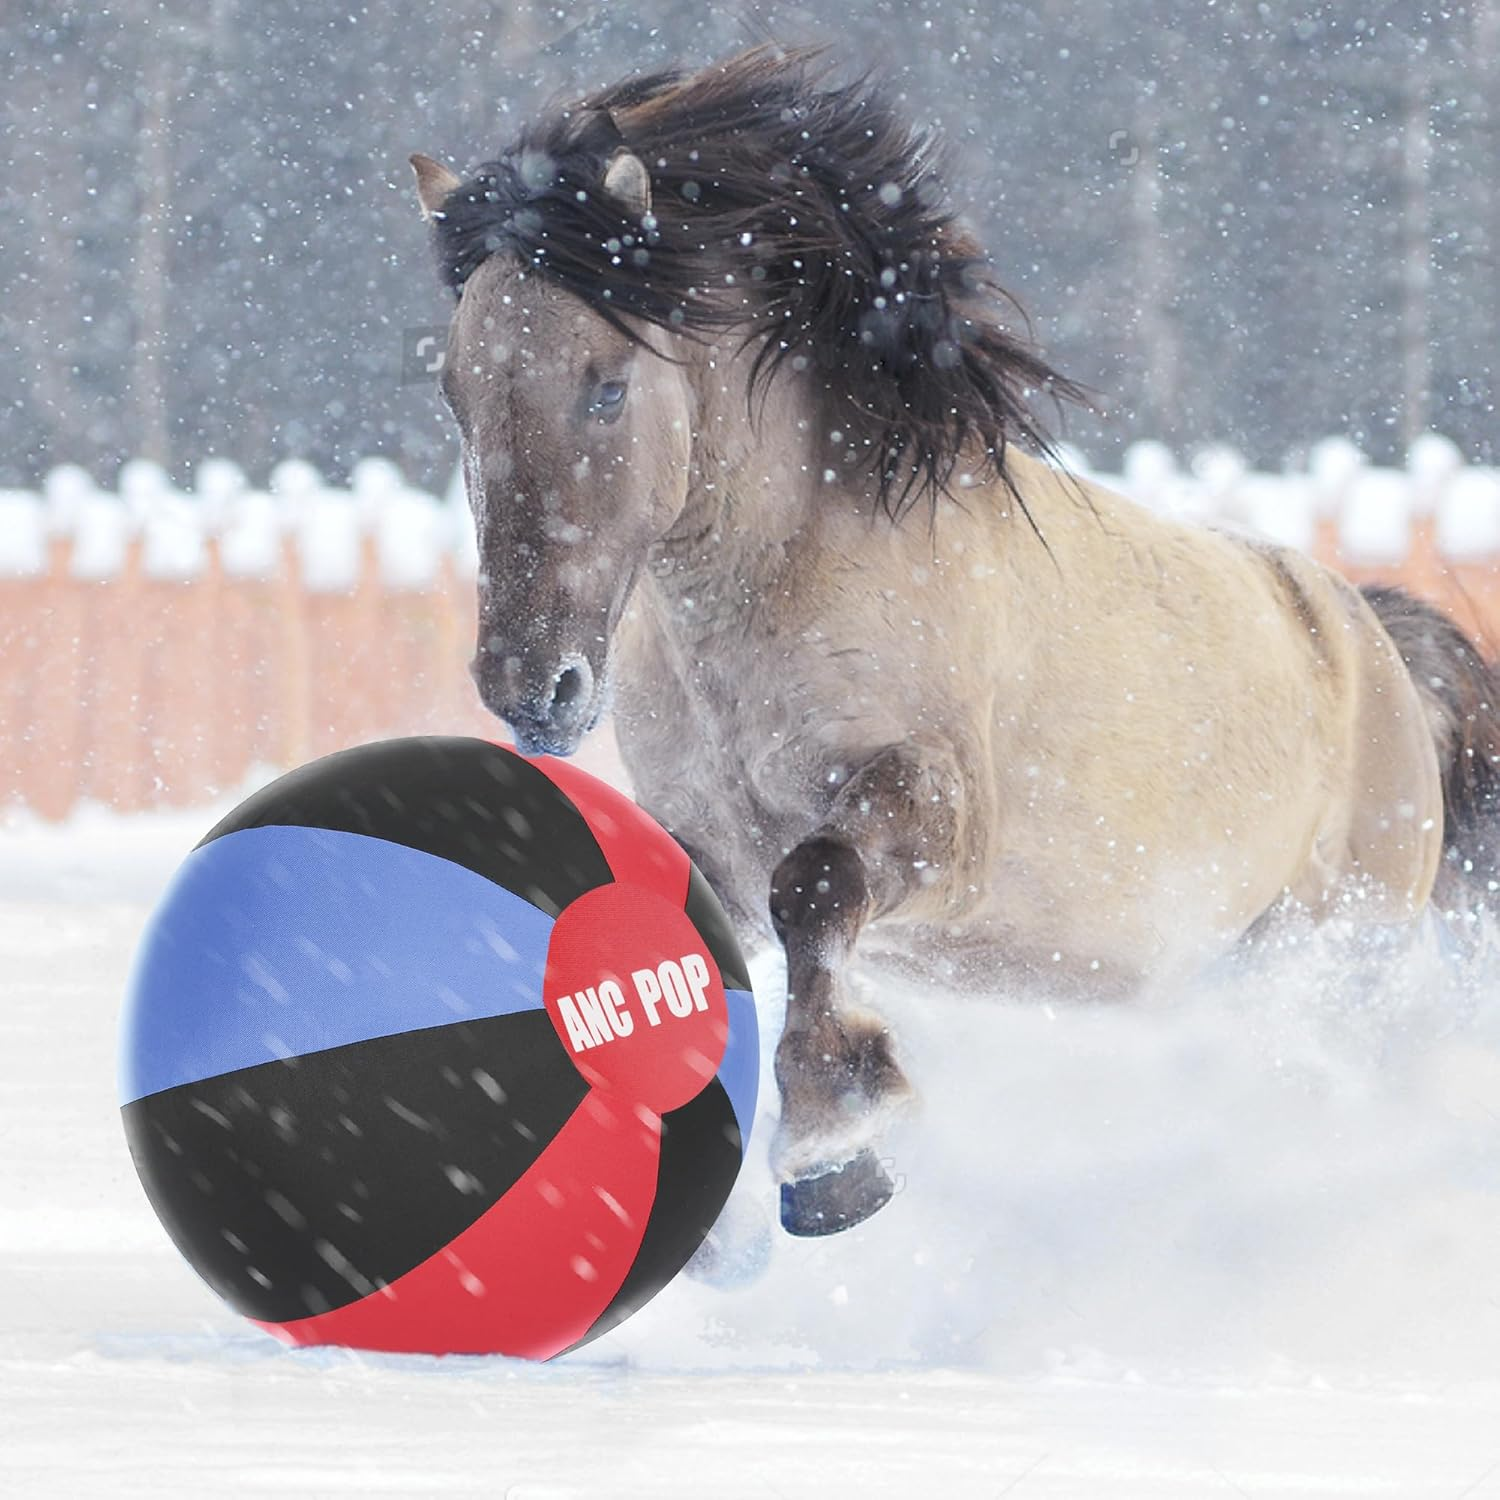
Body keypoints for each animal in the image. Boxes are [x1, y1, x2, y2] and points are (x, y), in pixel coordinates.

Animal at [408, 43, 1500, 1237]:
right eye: (456, 390)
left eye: (605, 385)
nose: (529, 686)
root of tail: (1372, 640)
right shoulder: (711, 850)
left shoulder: (938, 820)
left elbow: (816, 886)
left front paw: (835, 1147)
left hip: (1339, 963)